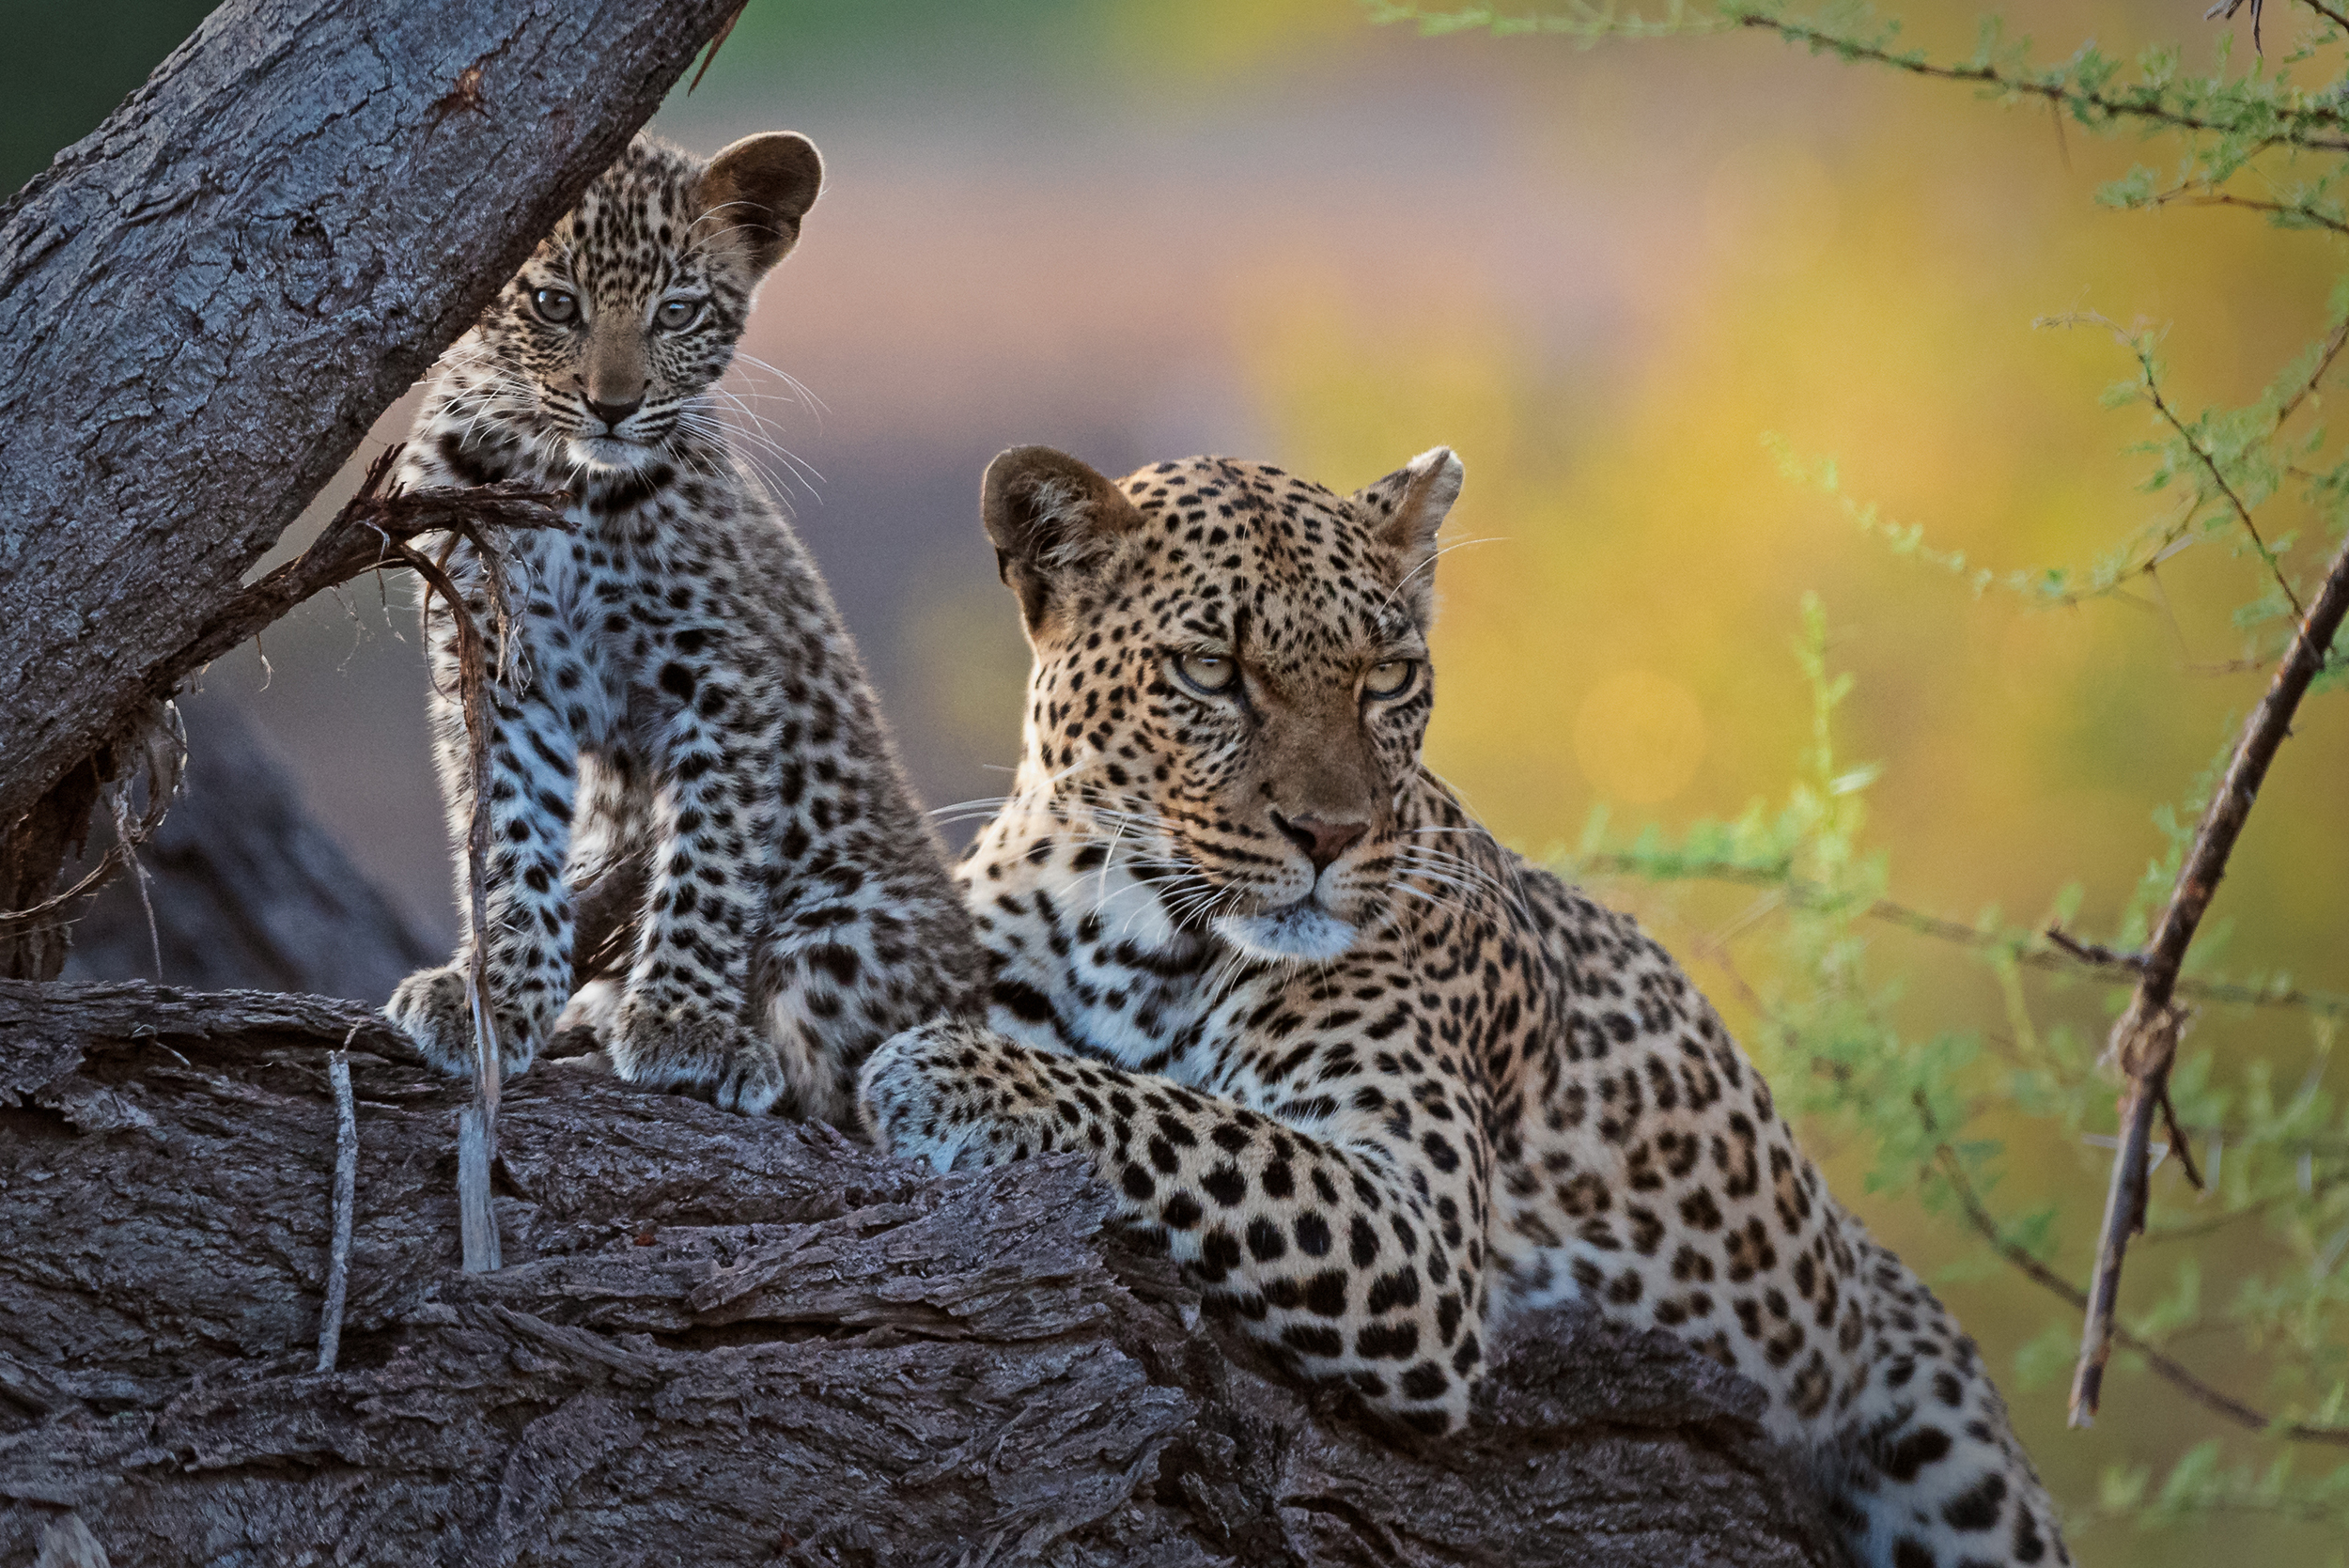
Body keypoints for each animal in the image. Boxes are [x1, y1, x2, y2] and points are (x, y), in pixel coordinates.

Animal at [385, 134, 982, 1112]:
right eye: (555, 304)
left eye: (677, 311)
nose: (614, 405)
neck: (563, 481)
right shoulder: (496, 675)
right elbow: (507, 840)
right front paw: (497, 996)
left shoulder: (724, 678)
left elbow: (709, 857)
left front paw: (682, 1023)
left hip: (848, 924)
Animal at [869, 443, 2077, 1568]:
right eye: (1210, 670)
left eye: (1388, 676)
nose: (1332, 833)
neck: (1122, 927)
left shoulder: (1419, 1229)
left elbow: (1187, 1119)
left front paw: (949, 1075)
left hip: (1957, 1458)